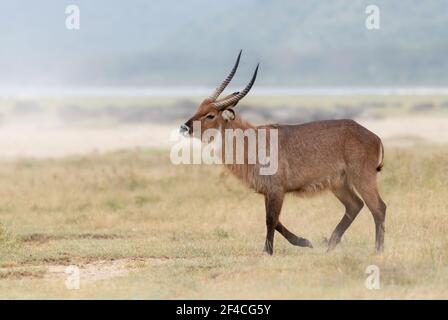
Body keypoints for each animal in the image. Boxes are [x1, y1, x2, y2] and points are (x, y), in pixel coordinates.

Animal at [180, 50, 386, 255]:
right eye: (198, 108)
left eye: (210, 115)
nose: (184, 127)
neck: (251, 141)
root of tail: (374, 136)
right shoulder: (268, 192)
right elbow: (276, 221)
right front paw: (304, 242)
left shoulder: (277, 190)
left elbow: (270, 220)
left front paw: (267, 251)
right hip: (339, 183)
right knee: (355, 206)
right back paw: (330, 246)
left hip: (362, 178)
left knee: (378, 208)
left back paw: (378, 250)